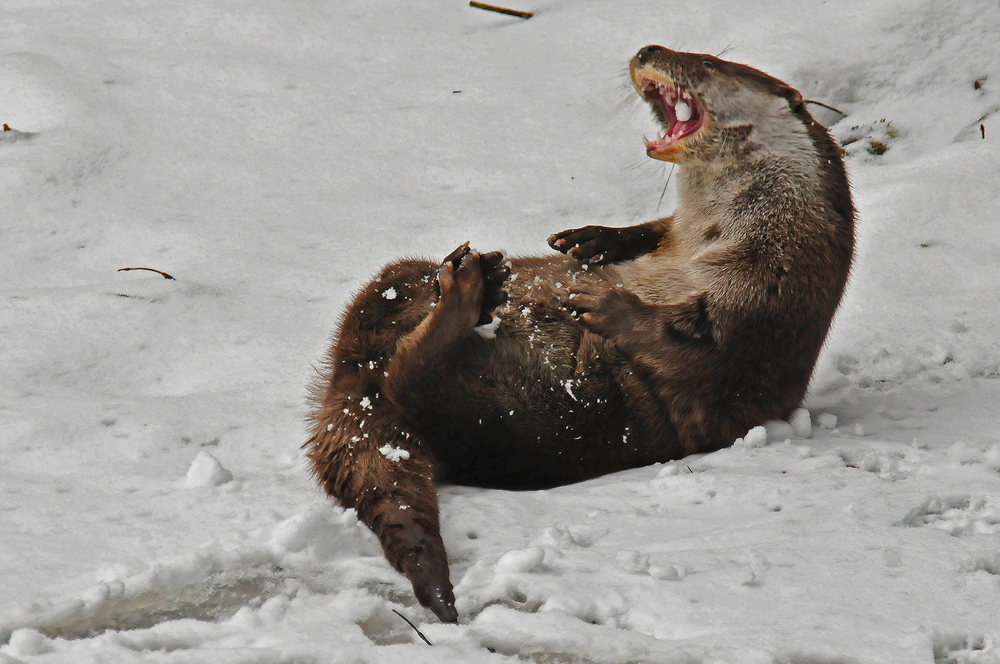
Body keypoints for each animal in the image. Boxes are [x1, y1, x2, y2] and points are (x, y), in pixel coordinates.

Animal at [302, 46, 852, 624]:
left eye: (705, 61)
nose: (648, 50)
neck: (717, 233)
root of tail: (352, 376)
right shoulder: (688, 239)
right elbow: (651, 231)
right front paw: (593, 241)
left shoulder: (774, 300)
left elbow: (702, 355)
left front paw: (608, 303)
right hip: (394, 281)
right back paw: (469, 277)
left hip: (515, 414)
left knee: (412, 379)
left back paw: (465, 296)